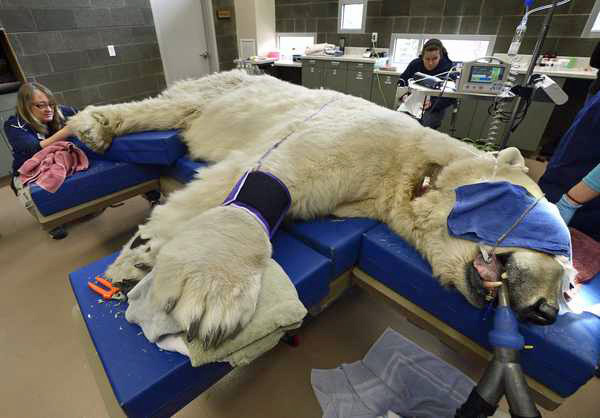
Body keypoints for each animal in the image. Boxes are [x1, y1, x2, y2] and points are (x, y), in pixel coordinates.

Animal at [68, 70, 564, 348]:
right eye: (559, 245)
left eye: (567, 282)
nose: (546, 312)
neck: (415, 165)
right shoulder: (356, 140)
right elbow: (267, 176)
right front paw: (195, 285)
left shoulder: (358, 197)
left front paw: (140, 260)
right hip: (223, 89)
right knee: (166, 106)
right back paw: (92, 125)